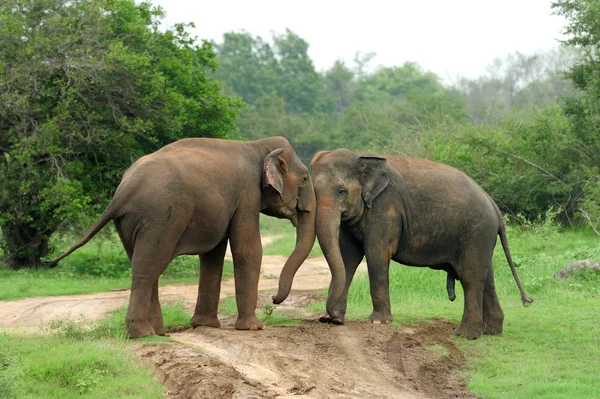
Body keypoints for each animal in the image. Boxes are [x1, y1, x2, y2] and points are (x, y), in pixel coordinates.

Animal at [49, 137, 316, 338]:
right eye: (304, 178)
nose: (274, 299)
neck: (256, 145)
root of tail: (122, 192)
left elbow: (212, 255)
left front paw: (205, 325)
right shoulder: (247, 193)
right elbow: (247, 249)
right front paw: (254, 327)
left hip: (128, 223)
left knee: (145, 264)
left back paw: (158, 332)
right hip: (160, 216)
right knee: (149, 266)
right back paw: (142, 334)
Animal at [276, 148, 528, 342]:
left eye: (341, 191)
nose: (328, 318)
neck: (362, 158)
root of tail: (493, 204)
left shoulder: (386, 208)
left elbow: (376, 256)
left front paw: (377, 322)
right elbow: (348, 258)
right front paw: (335, 319)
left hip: (476, 231)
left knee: (471, 277)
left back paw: (464, 335)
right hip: (481, 236)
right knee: (487, 277)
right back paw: (492, 332)